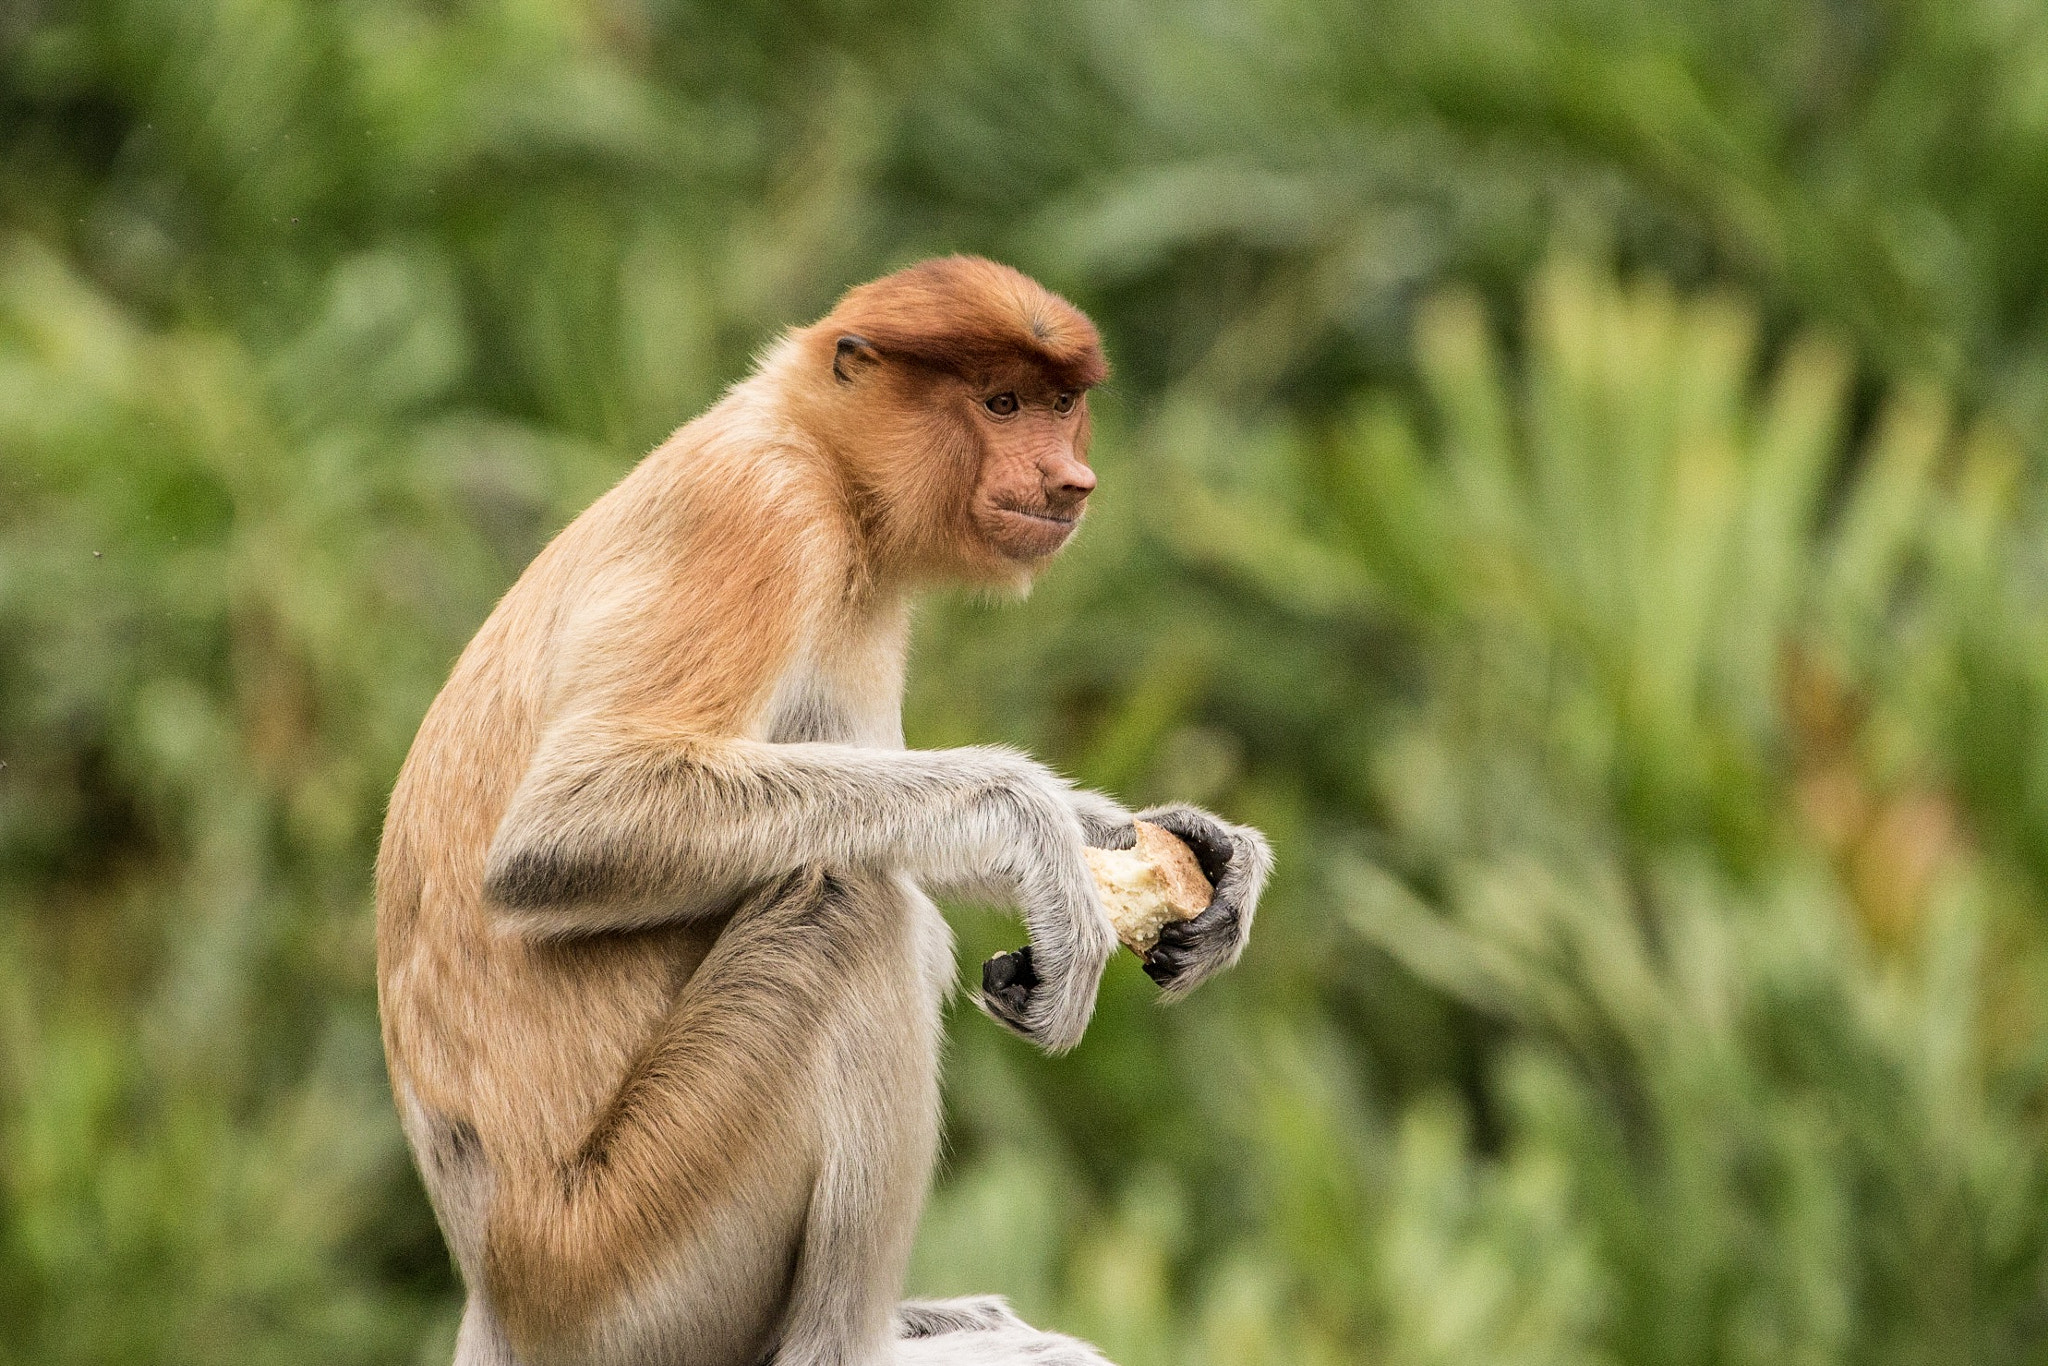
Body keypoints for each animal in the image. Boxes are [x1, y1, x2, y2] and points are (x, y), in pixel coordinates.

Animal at [376, 256, 1273, 1366]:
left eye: (1062, 404)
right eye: (1000, 403)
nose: (1072, 480)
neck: (819, 452)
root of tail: (499, 1297)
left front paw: (1203, 859)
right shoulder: (763, 517)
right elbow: (568, 822)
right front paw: (1033, 829)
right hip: (628, 1264)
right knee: (852, 905)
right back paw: (861, 1342)